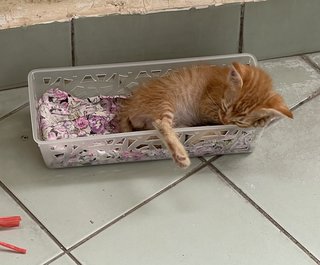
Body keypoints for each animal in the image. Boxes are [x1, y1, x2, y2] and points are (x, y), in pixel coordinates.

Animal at [117, 62, 292, 167]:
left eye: (240, 122)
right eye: (225, 107)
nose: (225, 120)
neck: (223, 85)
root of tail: (128, 107)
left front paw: (263, 119)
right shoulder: (207, 106)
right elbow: (216, 119)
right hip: (165, 102)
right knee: (160, 124)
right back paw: (181, 154)